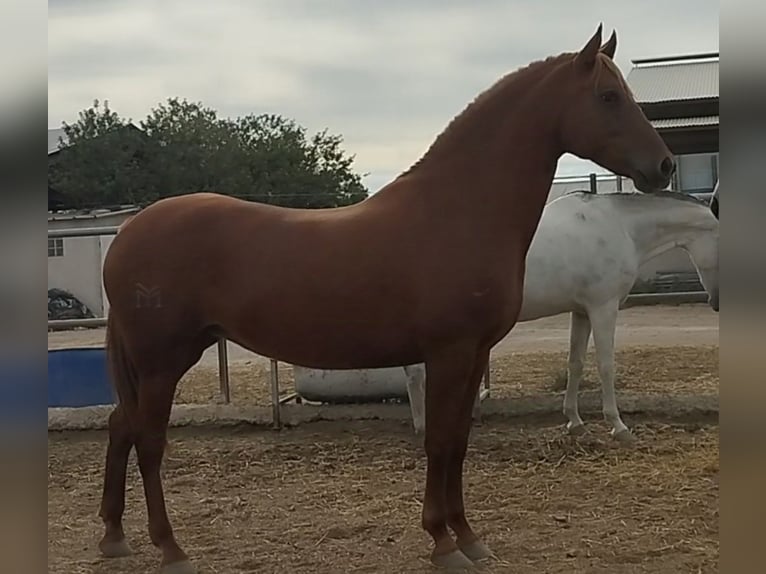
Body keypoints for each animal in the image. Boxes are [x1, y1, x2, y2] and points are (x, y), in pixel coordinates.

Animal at [99, 27, 676, 574]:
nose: (665, 166)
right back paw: (171, 549)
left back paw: (113, 537)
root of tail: (128, 233)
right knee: (148, 440)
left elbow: (458, 441)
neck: (458, 211)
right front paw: (443, 542)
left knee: (121, 426)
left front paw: (468, 537)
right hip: (163, 361)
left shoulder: (475, 355)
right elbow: (438, 442)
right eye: (607, 96)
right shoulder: (449, 353)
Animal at [408, 191, 720, 444]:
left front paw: (574, 421)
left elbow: (576, 363)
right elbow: (606, 366)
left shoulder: (581, 311)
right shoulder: (603, 308)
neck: (620, 227)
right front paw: (618, 426)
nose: (716, 302)